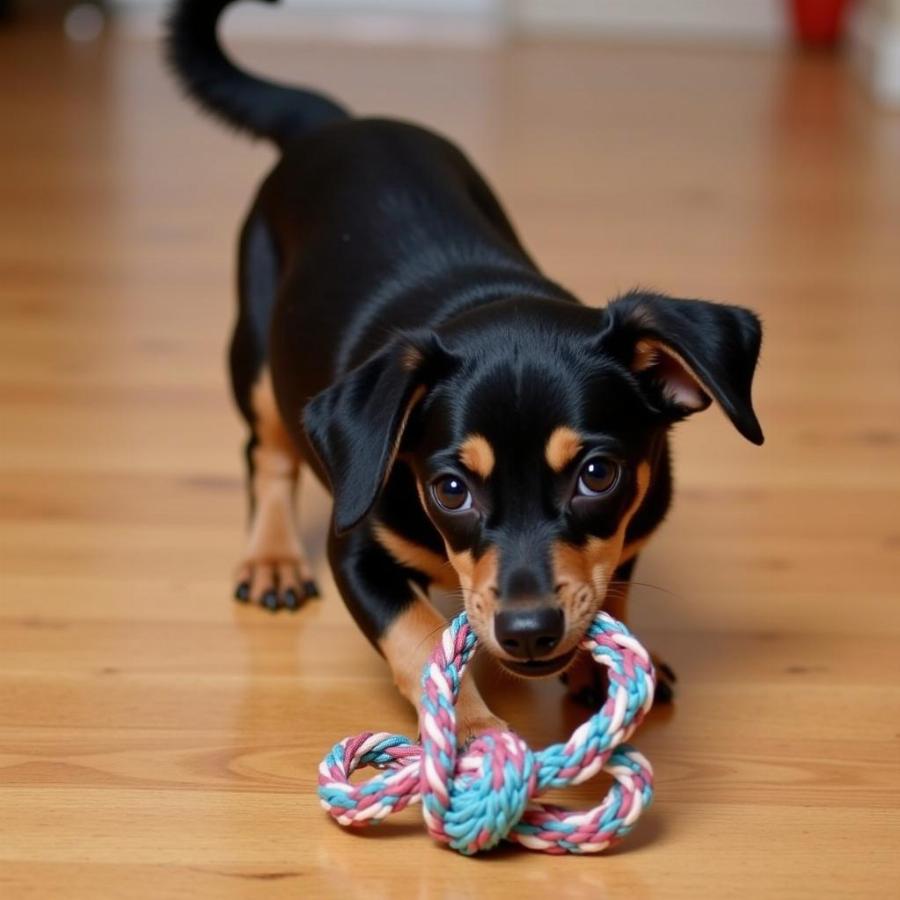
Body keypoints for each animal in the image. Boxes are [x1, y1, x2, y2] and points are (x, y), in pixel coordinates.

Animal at [165, 0, 764, 740]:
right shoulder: (358, 552)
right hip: (254, 352)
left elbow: (612, 585)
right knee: (267, 451)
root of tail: (336, 123)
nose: (529, 630)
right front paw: (476, 735)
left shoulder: (634, 530)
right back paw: (272, 559)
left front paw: (599, 673)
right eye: (449, 490)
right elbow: (419, 637)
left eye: (598, 475)